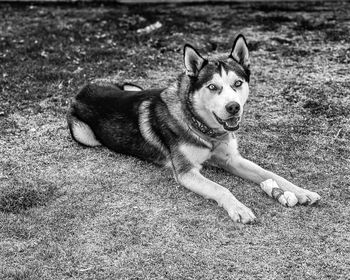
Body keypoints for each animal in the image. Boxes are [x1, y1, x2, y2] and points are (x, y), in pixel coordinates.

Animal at [67, 34, 320, 223]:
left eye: (238, 83)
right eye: (212, 87)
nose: (233, 107)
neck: (203, 128)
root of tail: (83, 89)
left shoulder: (231, 159)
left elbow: (270, 174)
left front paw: (302, 192)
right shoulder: (187, 172)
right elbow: (220, 189)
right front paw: (239, 208)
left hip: (132, 86)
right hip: (84, 135)